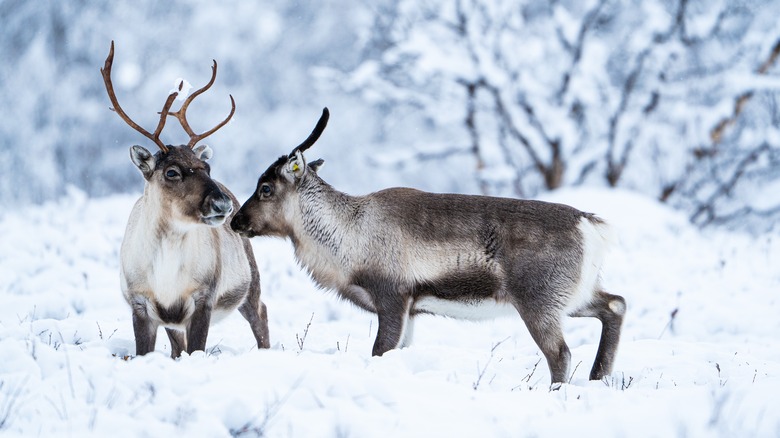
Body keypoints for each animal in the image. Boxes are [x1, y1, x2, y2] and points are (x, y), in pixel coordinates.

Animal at [101, 41, 270, 357]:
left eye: (206, 167)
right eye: (172, 172)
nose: (222, 204)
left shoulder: (203, 298)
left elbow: (197, 350)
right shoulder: (142, 303)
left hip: (249, 281)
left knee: (261, 314)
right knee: (177, 347)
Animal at [230, 107, 626, 387]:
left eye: (265, 188)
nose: (235, 221)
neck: (348, 235)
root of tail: (591, 224)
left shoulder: (393, 296)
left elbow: (379, 351)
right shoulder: (413, 309)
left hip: (538, 301)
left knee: (560, 353)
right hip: (573, 296)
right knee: (615, 304)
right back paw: (598, 376)